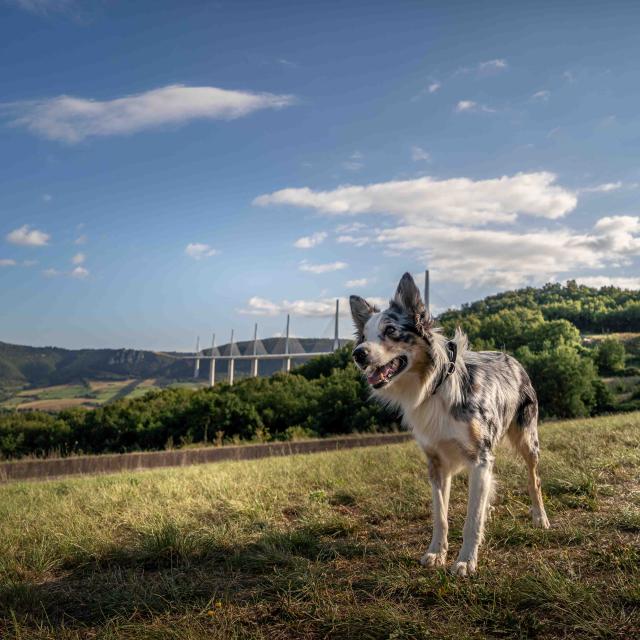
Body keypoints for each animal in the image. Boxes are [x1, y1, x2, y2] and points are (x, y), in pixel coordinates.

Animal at [350, 270, 552, 576]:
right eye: (363, 336)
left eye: (391, 331)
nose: (358, 354)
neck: (434, 385)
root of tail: (510, 357)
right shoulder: (436, 463)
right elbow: (441, 516)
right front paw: (436, 553)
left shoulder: (479, 457)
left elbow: (471, 519)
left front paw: (466, 561)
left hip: (528, 439)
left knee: (534, 479)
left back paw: (539, 517)